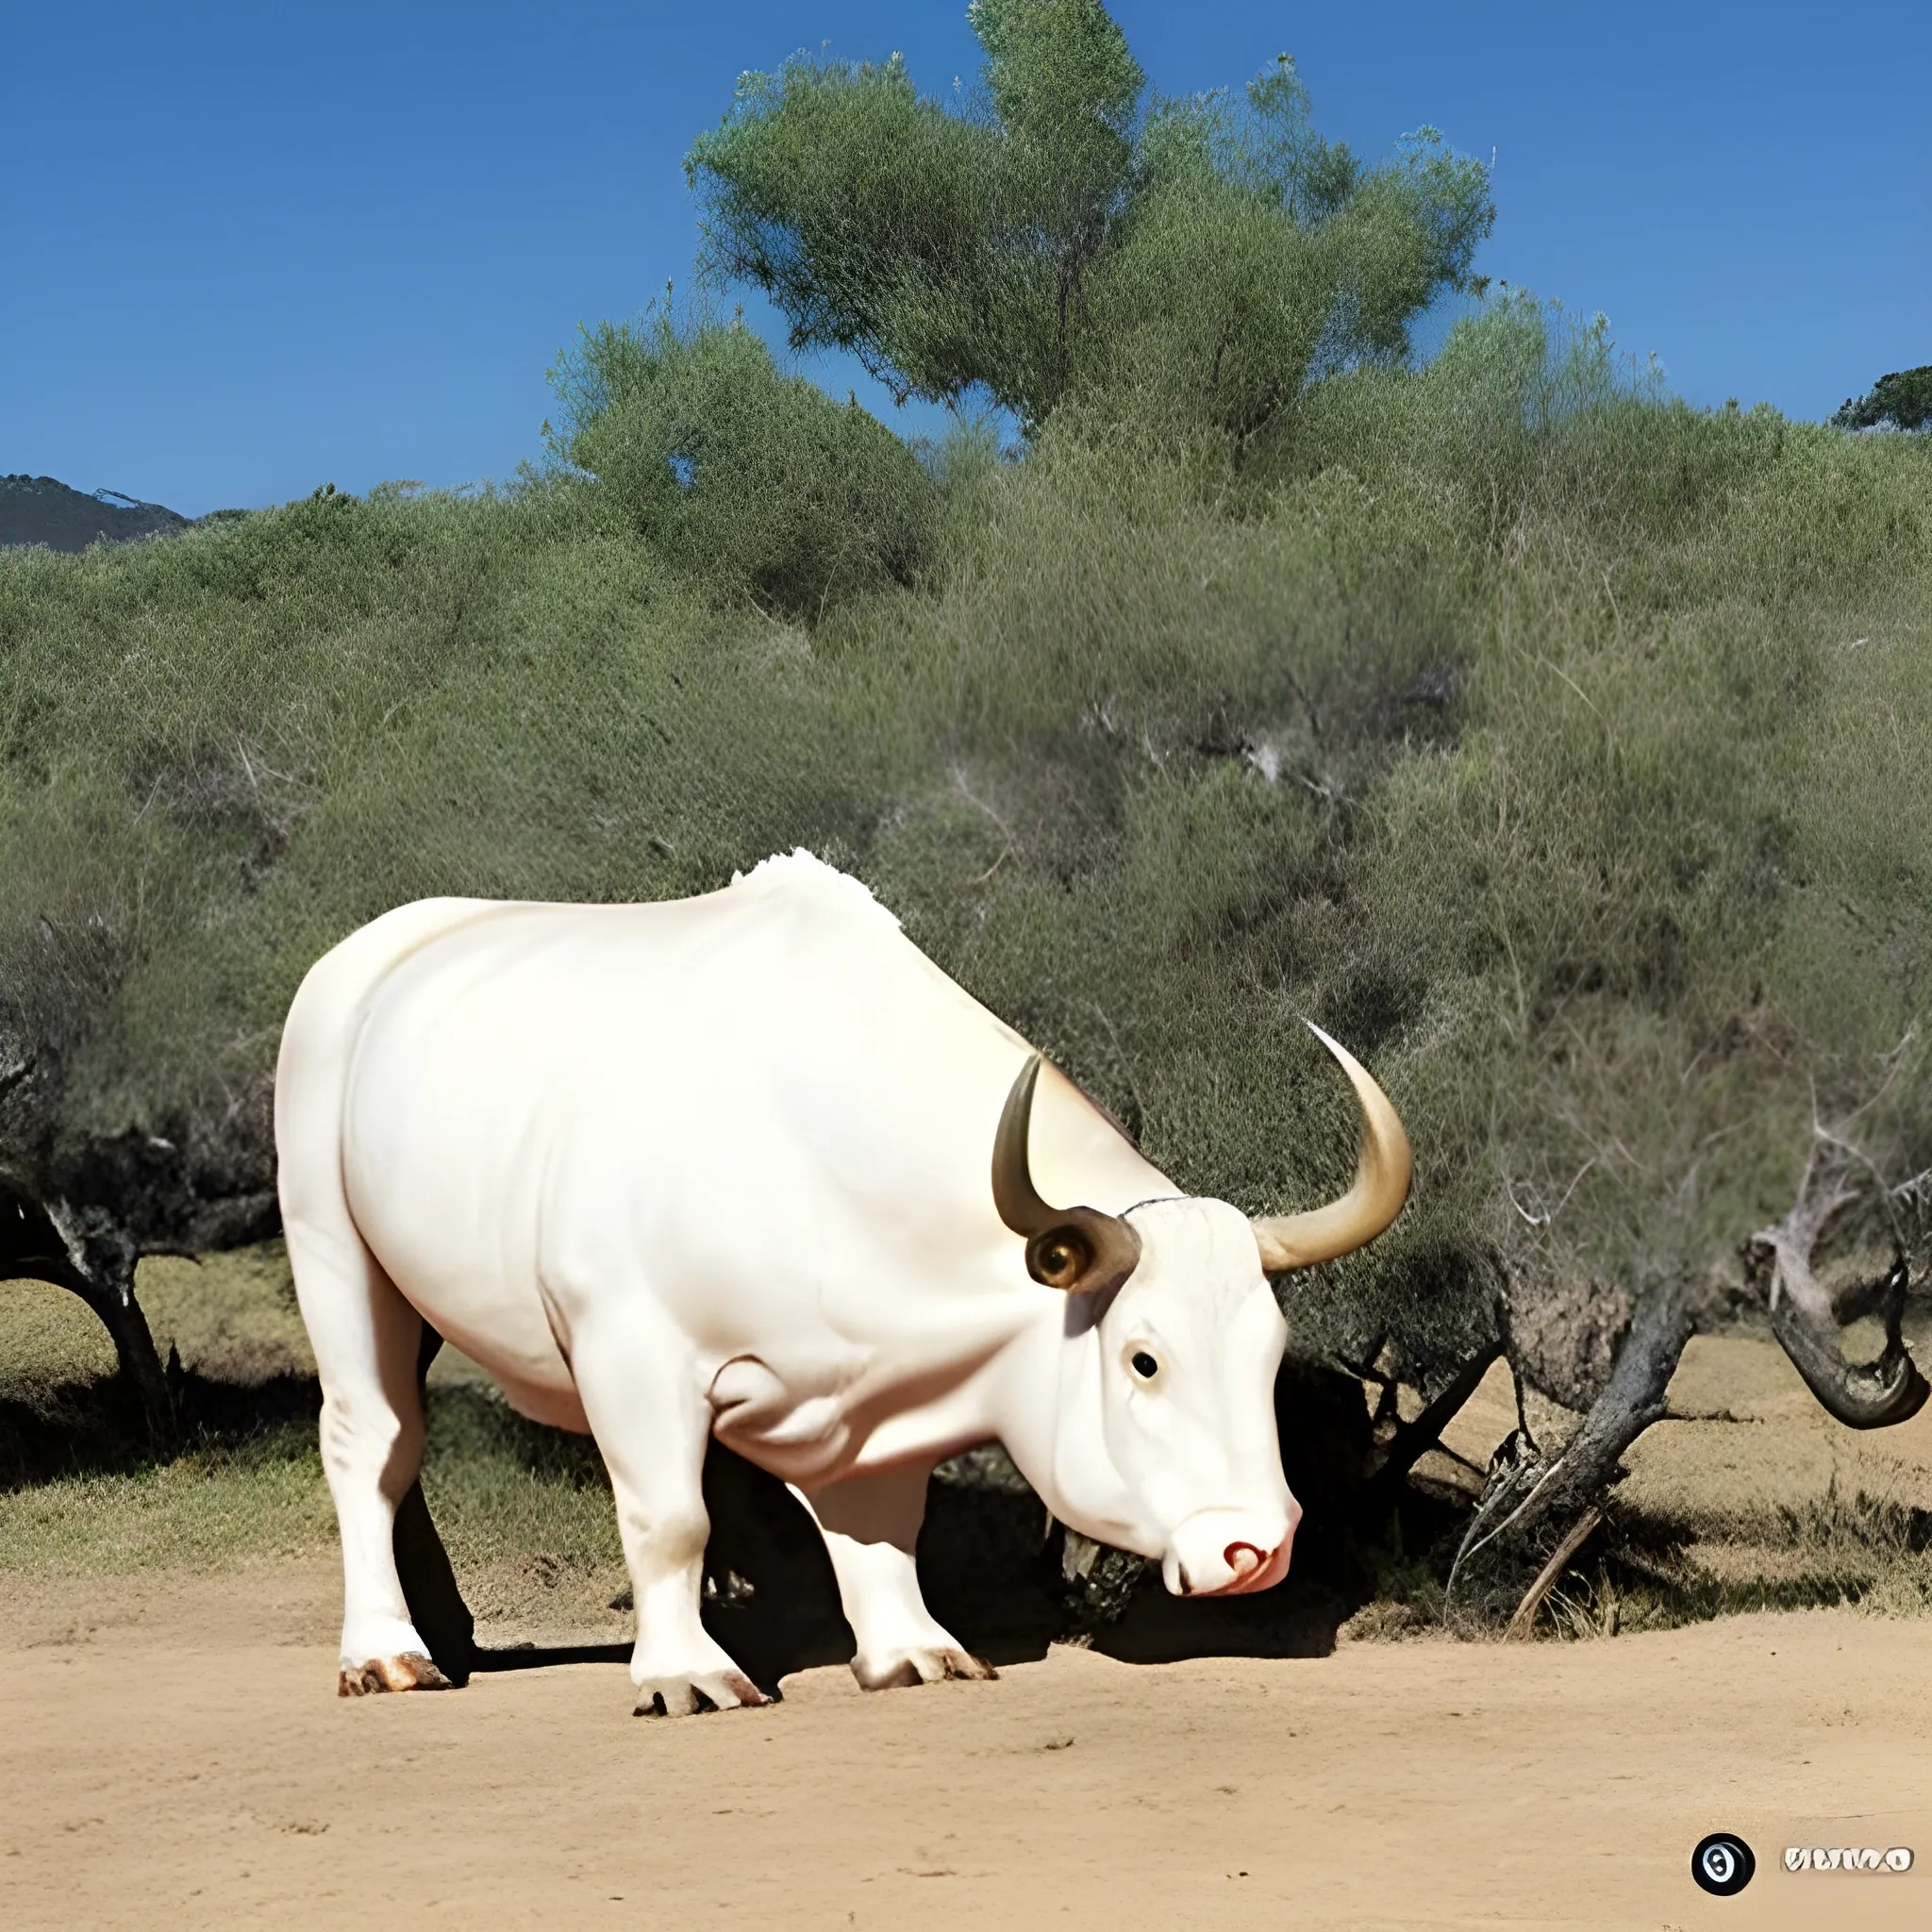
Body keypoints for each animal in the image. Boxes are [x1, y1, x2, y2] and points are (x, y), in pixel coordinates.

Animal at [279, 854, 1414, 1715]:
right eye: (1144, 1359)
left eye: (1268, 1355)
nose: (1255, 1547)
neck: (811, 1138)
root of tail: (367, 951)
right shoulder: (632, 1354)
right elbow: (672, 1519)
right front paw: (685, 1671)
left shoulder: (877, 1390)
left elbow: (880, 1524)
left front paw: (910, 1647)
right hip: (334, 1252)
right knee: (374, 1440)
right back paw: (387, 1650)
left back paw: (451, 1635)